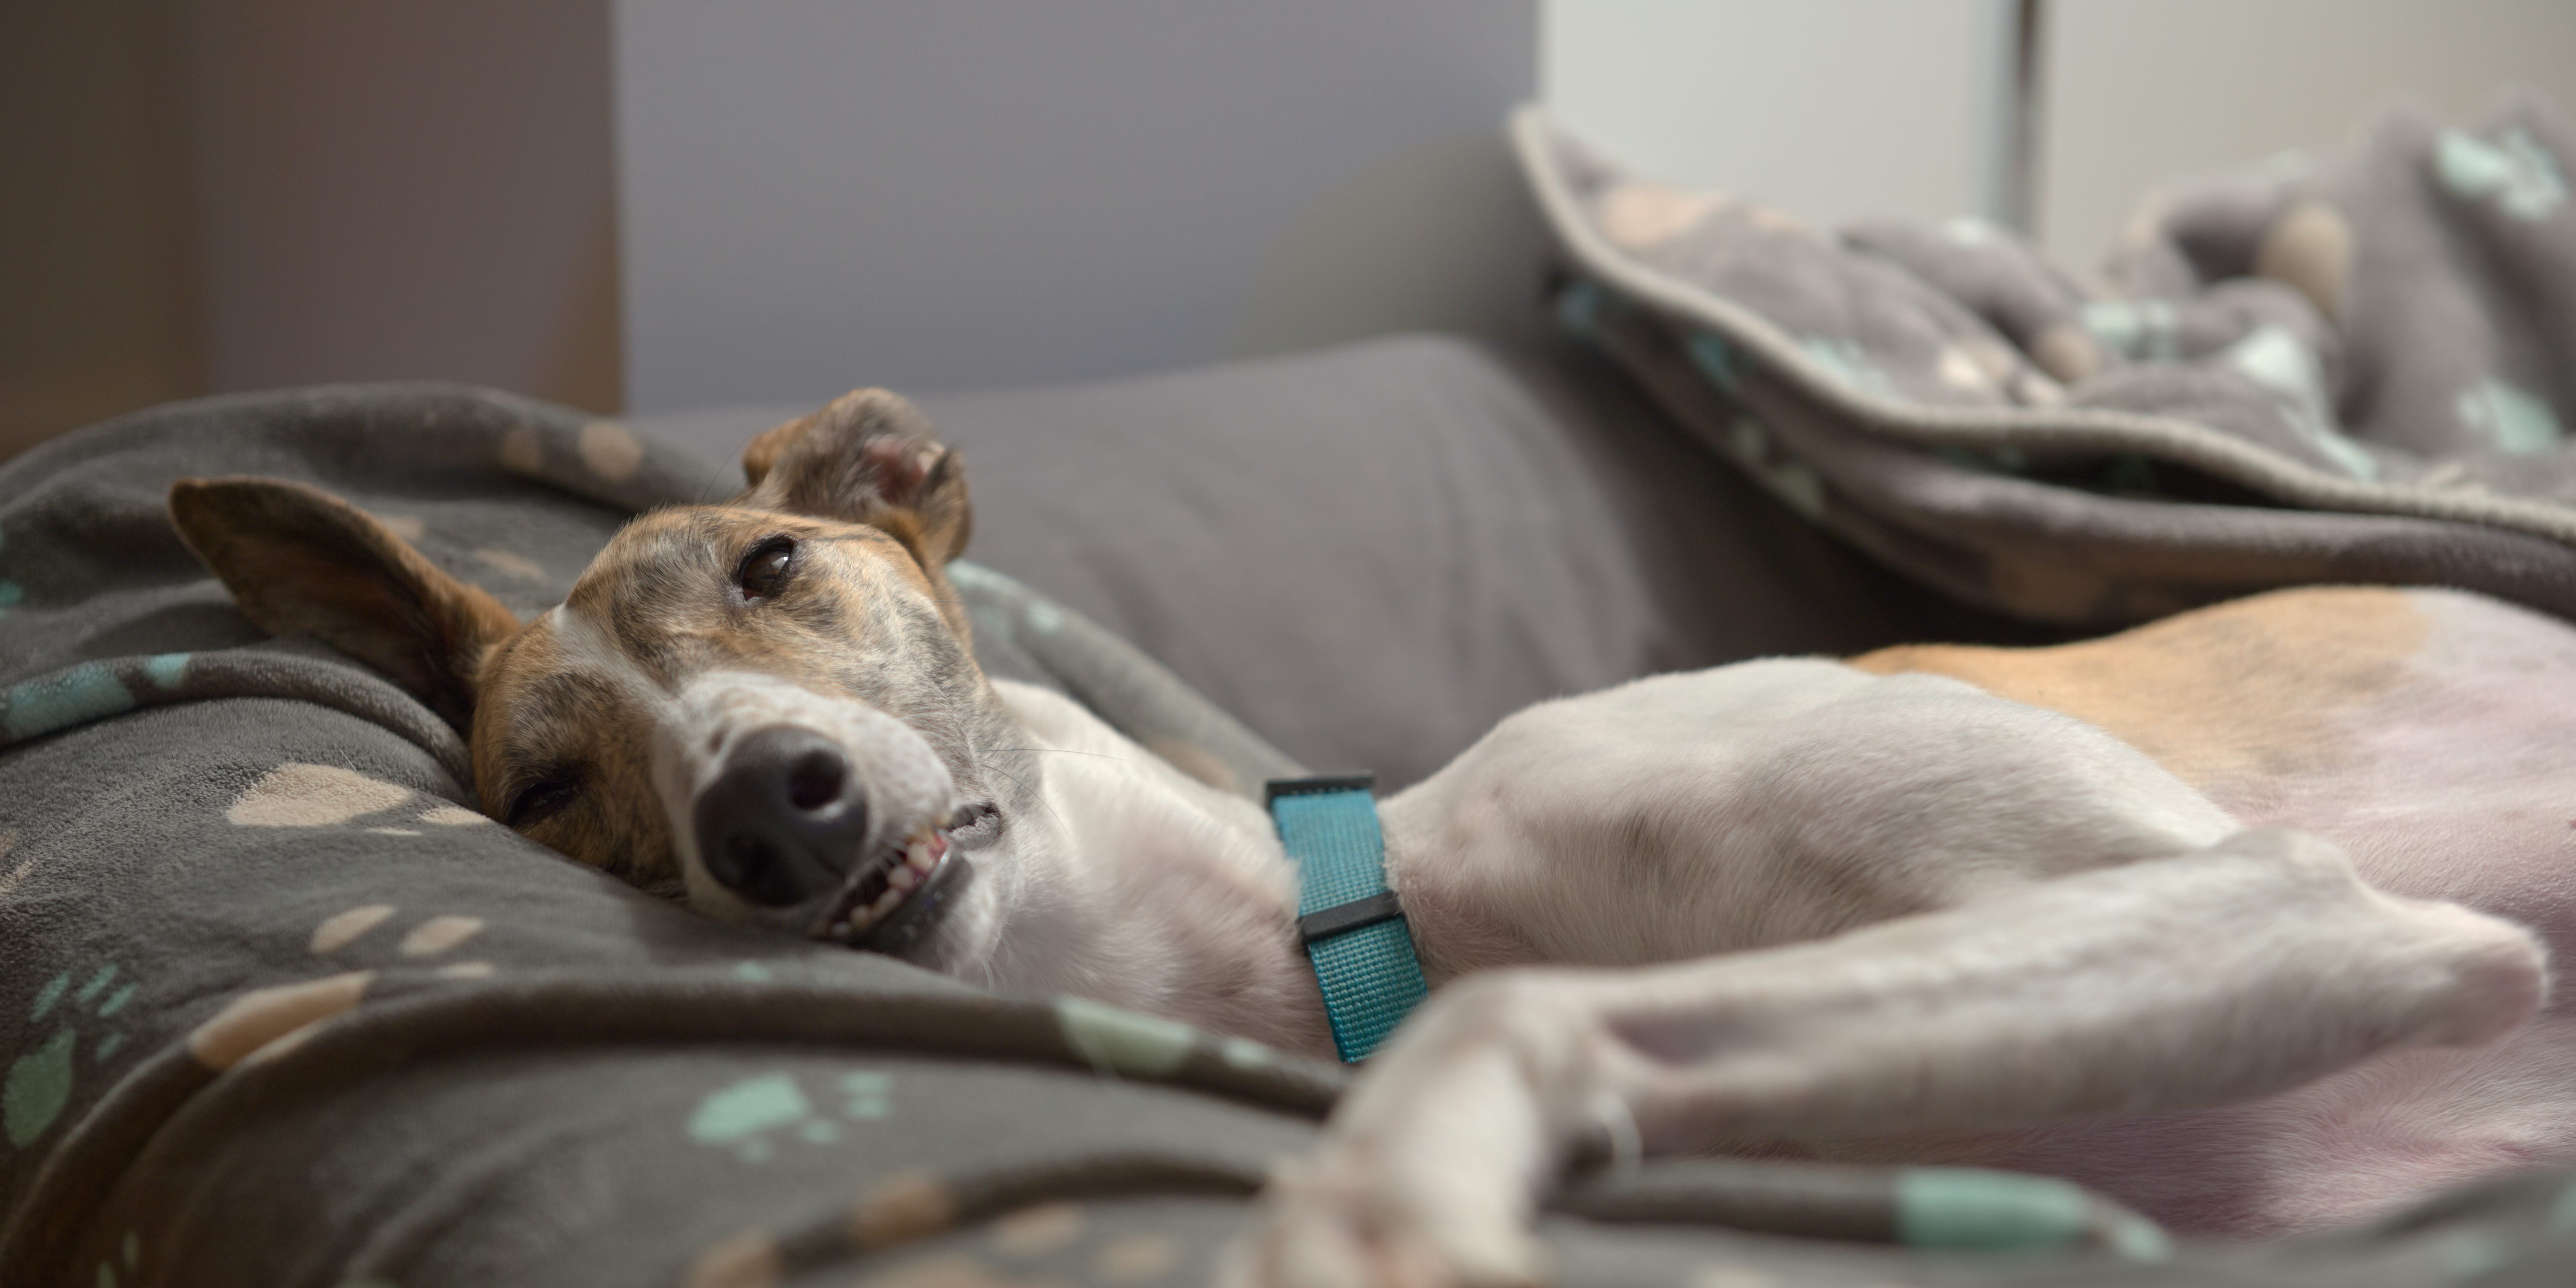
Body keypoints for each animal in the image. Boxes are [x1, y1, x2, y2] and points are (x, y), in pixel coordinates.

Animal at [171, 391, 2565, 1288]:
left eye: (773, 563)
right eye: (539, 785)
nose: (772, 806)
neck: (1364, 897)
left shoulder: (2258, 893)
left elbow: (1507, 1016)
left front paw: (1371, 1217)